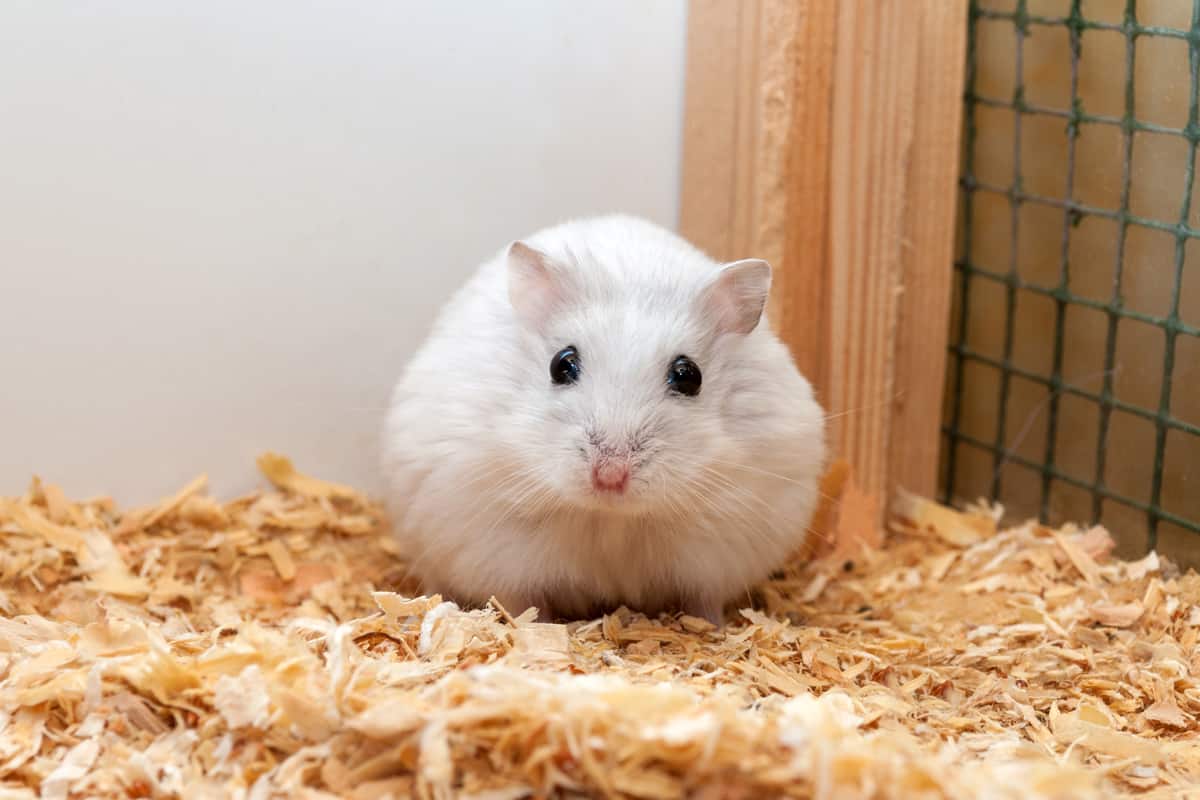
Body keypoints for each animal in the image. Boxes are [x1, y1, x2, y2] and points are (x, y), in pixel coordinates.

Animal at [381, 215, 826, 624]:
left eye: (689, 375)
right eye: (561, 364)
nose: (610, 476)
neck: (611, 517)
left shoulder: (722, 548)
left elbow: (703, 602)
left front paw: (712, 629)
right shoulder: (495, 547)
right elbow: (522, 604)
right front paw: (535, 629)